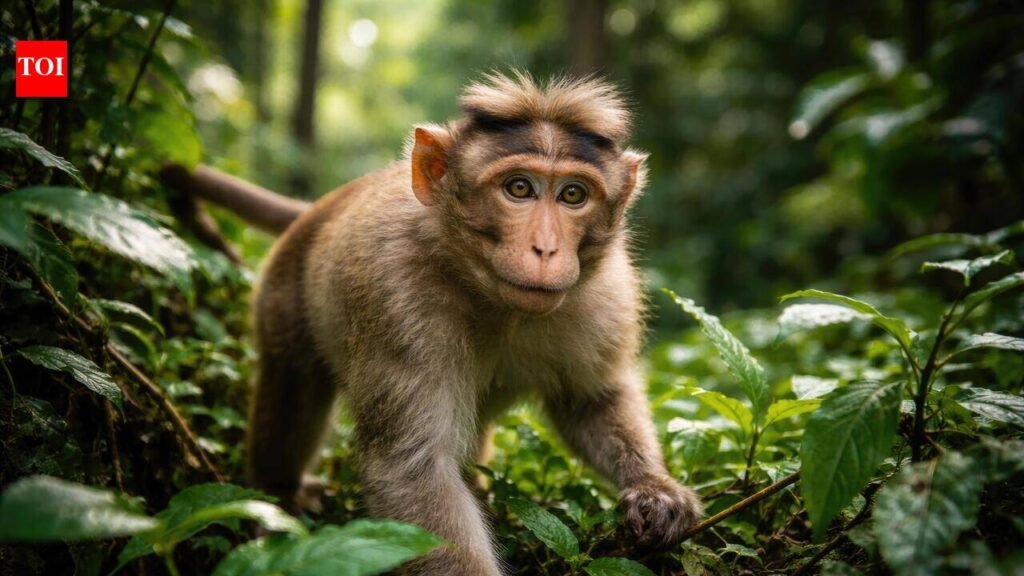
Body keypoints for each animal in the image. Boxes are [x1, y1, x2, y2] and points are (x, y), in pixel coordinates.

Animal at [162, 71, 702, 575]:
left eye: (573, 195)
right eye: (519, 188)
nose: (546, 249)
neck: (497, 302)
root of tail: (321, 206)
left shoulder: (607, 298)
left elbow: (593, 399)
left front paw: (655, 489)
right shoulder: (398, 301)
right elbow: (413, 466)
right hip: (281, 294)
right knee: (293, 385)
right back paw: (278, 498)